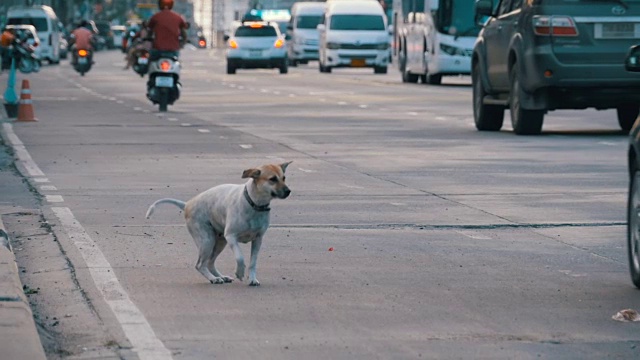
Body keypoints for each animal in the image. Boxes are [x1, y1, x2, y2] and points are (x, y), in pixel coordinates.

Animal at [146, 162, 292, 286]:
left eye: (284, 178)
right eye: (272, 179)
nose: (288, 191)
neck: (253, 203)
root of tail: (187, 204)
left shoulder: (258, 240)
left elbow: (253, 262)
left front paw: (252, 279)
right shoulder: (231, 237)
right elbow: (240, 257)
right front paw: (239, 272)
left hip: (219, 242)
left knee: (210, 263)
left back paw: (221, 277)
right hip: (207, 240)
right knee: (200, 265)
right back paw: (213, 279)